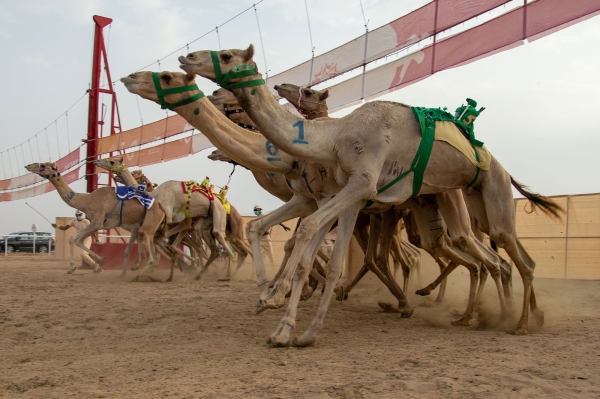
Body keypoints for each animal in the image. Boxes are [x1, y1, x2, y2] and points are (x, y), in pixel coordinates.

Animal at [179, 44, 564, 344]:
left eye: (226, 55)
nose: (187, 58)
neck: (333, 136)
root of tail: (500, 167)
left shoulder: (357, 185)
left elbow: (304, 237)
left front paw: (277, 300)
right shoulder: (344, 197)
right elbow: (314, 250)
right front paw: (290, 315)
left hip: (486, 195)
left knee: (507, 260)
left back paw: (514, 322)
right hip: (464, 202)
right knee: (486, 257)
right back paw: (492, 314)